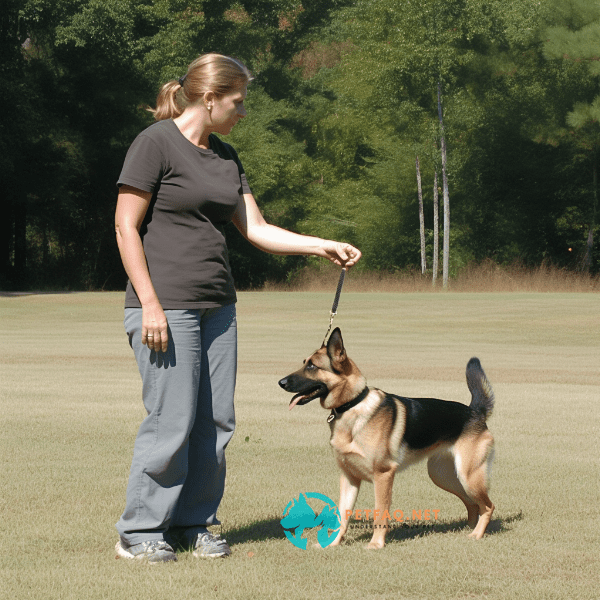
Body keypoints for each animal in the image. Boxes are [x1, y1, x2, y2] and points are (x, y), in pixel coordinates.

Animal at [278, 328, 494, 548]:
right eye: (304, 362)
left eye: (312, 366)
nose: (281, 382)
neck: (353, 405)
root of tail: (475, 411)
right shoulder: (349, 478)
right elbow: (342, 516)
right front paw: (332, 544)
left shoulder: (383, 475)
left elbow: (380, 513)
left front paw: (375, 544)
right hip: (443, 476)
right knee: (472, 503)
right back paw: (467, 531)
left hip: (468, 477)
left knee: (488, 506)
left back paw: (477, 534)